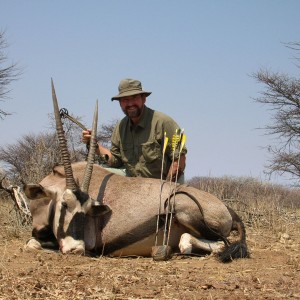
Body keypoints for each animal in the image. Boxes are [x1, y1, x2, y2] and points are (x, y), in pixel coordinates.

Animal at [23, 81, 248, 262]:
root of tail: (226, 208)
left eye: (86, 211)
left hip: (181, 206)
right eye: (64, 204)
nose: (76, 248)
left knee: (213, 243)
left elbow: (31, 244)